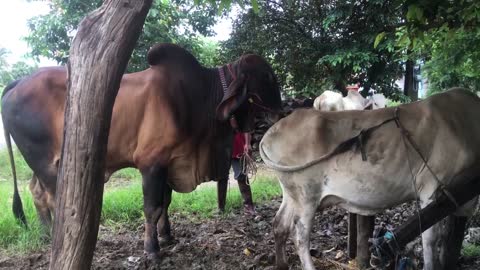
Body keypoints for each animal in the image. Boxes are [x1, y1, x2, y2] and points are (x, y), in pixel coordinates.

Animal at [1, 43, 282, 258]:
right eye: (267, 77)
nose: (281, 111)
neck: (199, 96)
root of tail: (17, 82)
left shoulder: (171, 160)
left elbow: (166, 202)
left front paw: (167, 236)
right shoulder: (152, 164)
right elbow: (152, 207)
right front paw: (152, 250)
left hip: (46, 162)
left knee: (36, 192)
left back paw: (46, 235)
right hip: (46, 163)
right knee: (52, 199)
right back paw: (55, 239)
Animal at [262, 87, 480, 268]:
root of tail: (273, 130)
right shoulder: (432, 190)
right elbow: (430, 240)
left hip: (291, 194)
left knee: (280, 224)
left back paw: (281, 264)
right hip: (306, 195)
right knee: (300, 235)